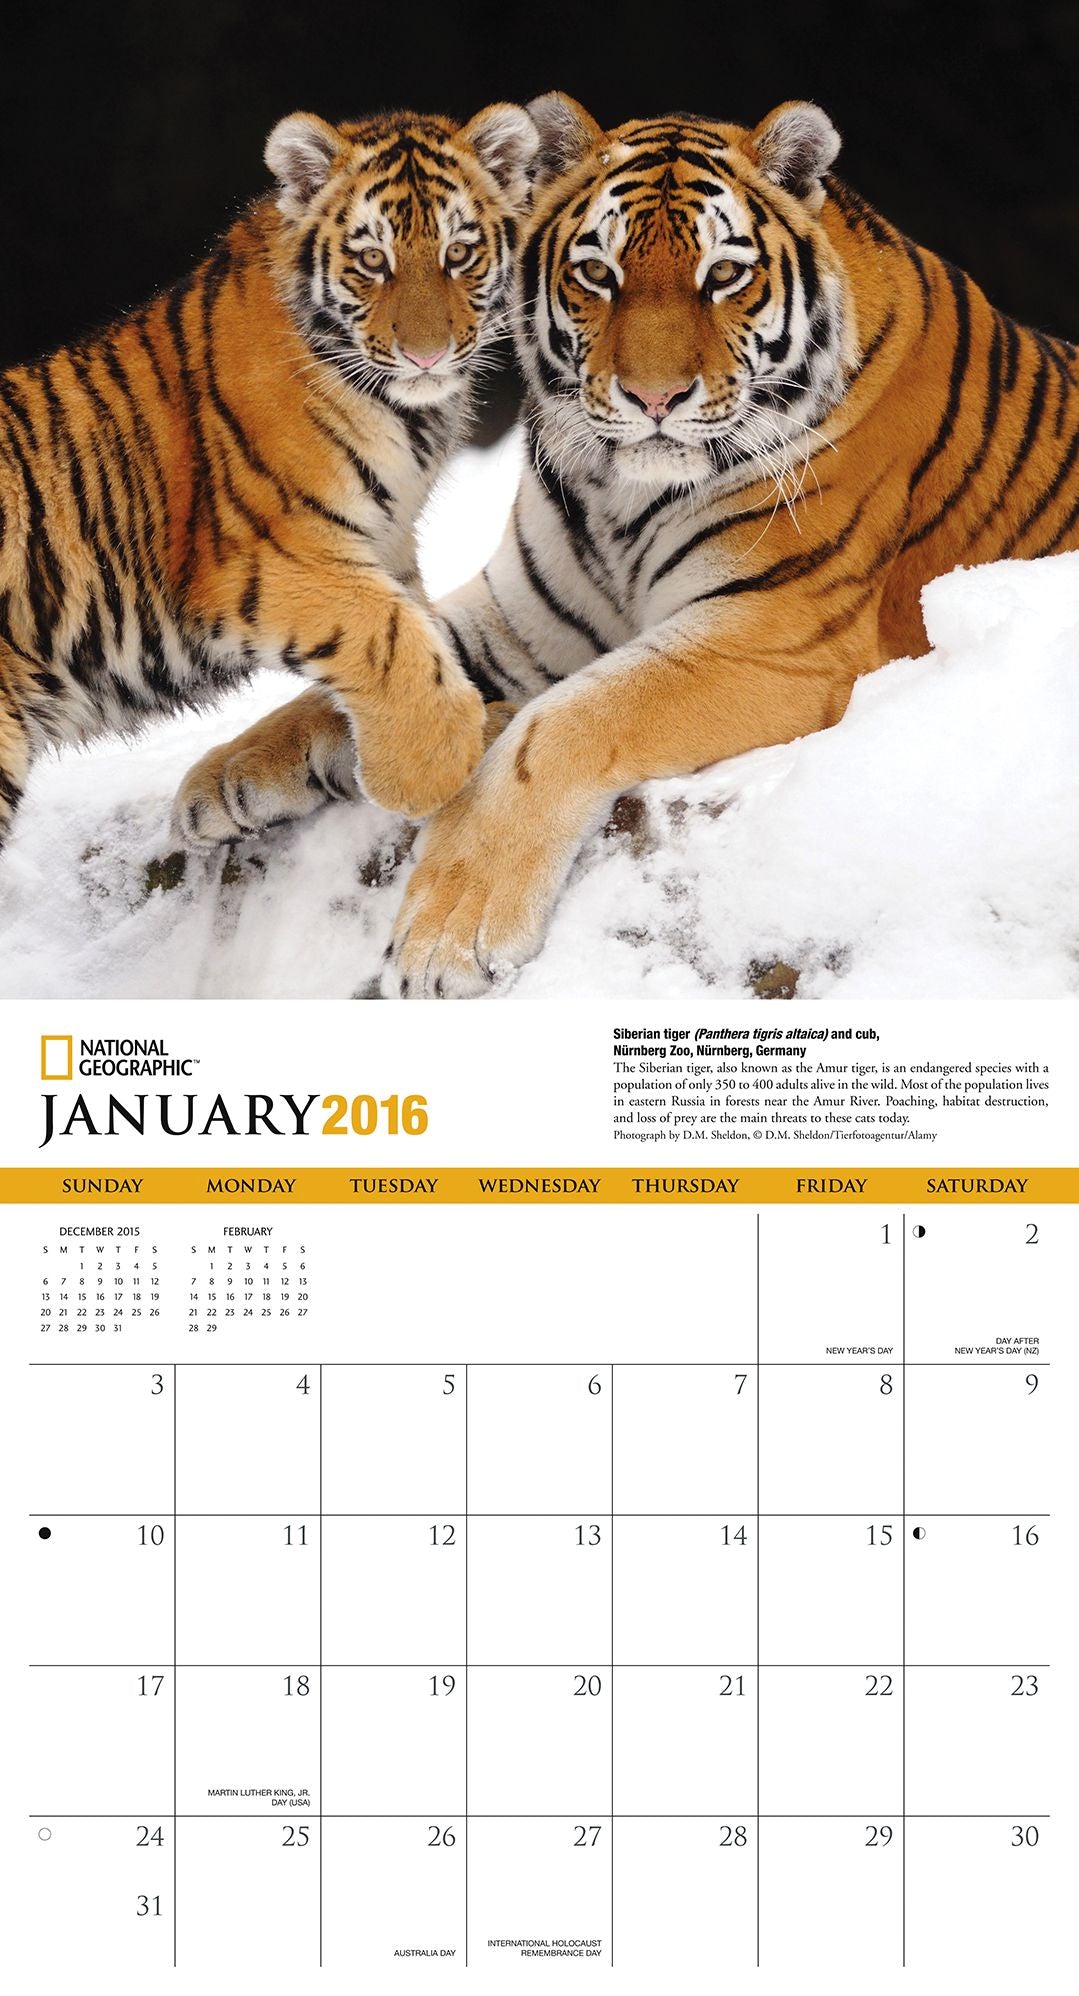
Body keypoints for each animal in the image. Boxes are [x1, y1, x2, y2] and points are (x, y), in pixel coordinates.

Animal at [0, 100, 541, 855]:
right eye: (372, 260)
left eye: (458, 253)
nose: (425, 355)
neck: (407, 415)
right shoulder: (267, 555)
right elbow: (391, 640)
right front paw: (428, 769)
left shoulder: (386, 545)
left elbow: (421, 638)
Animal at [173, 93, 1079, 997]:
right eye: (597, 275)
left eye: (723, 277)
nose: (654, 399)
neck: (620, 498)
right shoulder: (529, 618)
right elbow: (408, 656)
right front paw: (222, 777)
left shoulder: (777, 638)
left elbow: (564, 721)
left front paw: (447, 934)